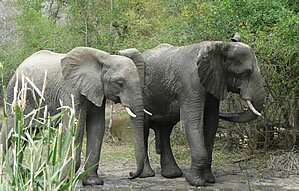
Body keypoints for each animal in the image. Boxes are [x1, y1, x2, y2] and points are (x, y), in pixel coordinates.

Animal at [0, 47, 146, 186]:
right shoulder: (70, 90)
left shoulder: (97, 90)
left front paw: (92, 182)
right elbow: (75, 126)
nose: (131, 174)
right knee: (10, 129)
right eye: (120, 82)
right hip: (17, 96)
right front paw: (61, 181)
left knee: (26, 134)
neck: (104, 58)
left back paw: (20, 173)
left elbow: (97, 126)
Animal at [119, 40, 264, 187]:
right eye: (246, 73)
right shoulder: (191, 83)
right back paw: (147, 175)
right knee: (144, 129)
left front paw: (209, 180)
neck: (219, 46)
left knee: (166, 130)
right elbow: (192, 122)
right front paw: (196, 182)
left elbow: (211, 123)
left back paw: (172, 174)